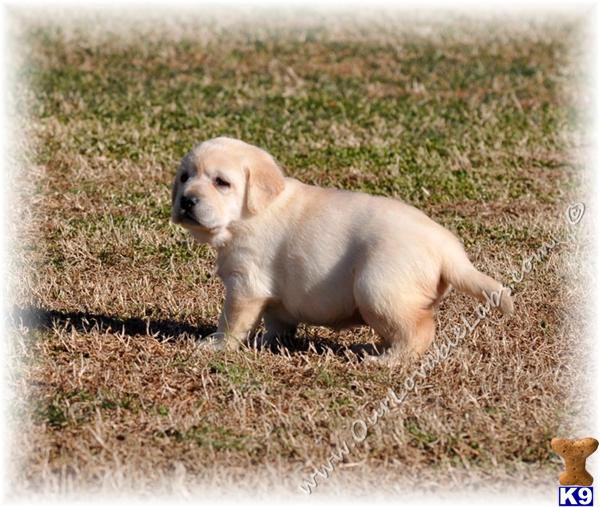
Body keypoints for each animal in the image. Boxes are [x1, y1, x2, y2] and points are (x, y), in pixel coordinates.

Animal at [170, 137, 510, 364]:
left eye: (221, 182)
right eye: (185, 177)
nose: (186, 200)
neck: (252, 212)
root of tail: (448, 249)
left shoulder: (246, 284)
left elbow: (231, 320)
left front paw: (216, 345)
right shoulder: (275, 295)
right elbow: (277, 321)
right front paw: (269, 342)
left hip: (378, 289)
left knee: (418, 330)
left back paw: (385, 360)